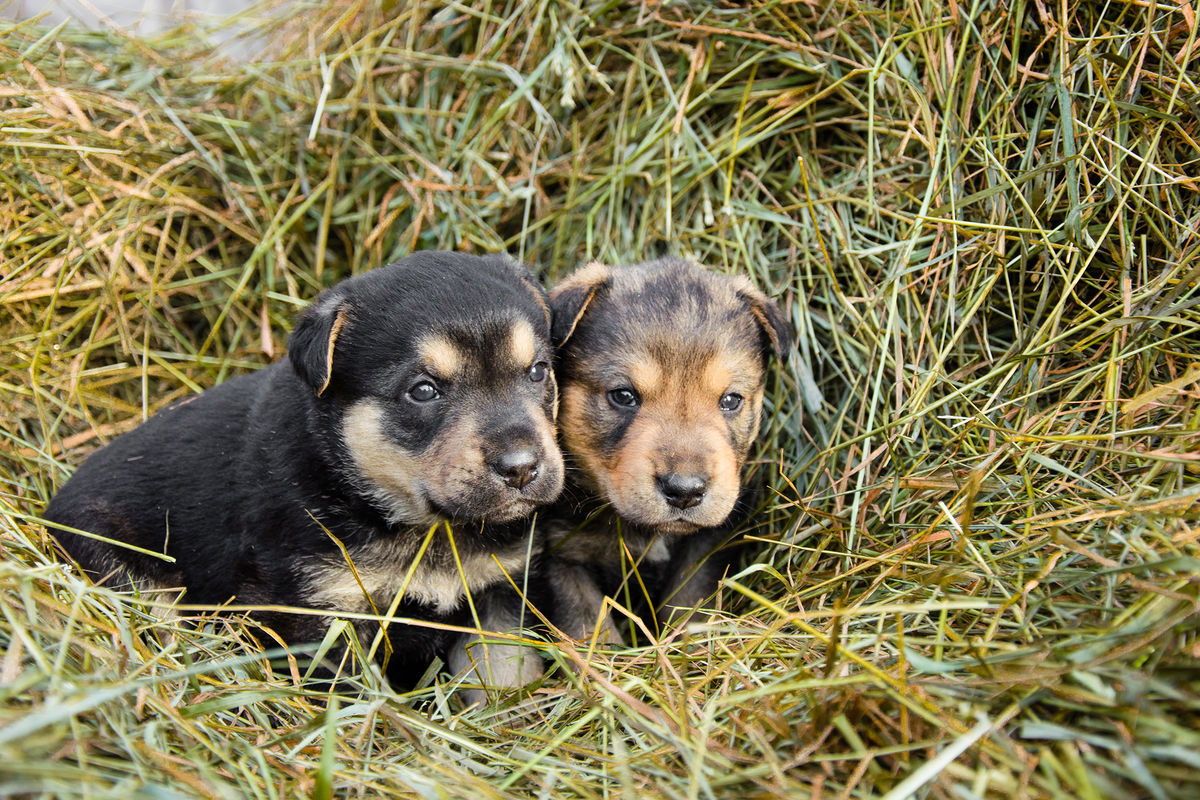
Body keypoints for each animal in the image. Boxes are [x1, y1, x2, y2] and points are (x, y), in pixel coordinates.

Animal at [46, 251, 566, 695]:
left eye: (538, 371)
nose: (521, 468)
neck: (425, 528)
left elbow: (503, 671)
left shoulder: (500, 590)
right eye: (423, 391)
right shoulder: (319, 613)